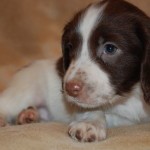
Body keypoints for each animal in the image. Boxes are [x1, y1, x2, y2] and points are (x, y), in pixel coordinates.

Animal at [0, 0, 150, 143]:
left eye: (110, 48)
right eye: (70, 47)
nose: (69, 89)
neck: (130, 95)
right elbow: (91, 109)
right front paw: (90, 124)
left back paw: (28, 115)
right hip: (25, 90)